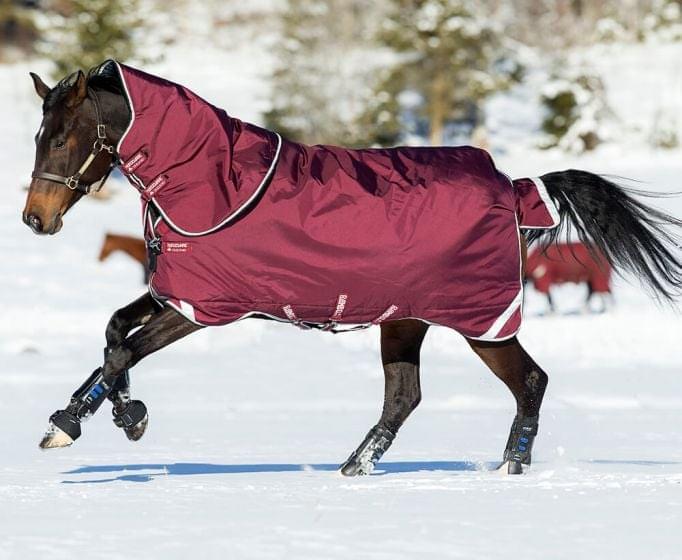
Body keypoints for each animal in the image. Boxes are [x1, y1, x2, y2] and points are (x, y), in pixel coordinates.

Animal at [22, 61, 682, 476]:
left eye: (61, 139)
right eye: (38, 135)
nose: (35, 218)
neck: (209, 184)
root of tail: (515, 188)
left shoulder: (206, 308)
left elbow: (123, 352)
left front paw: (123, 419)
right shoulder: (175, 293)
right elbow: (113, 336)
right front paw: (71, 421)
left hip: (483, 322)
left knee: (530, 382)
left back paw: (510, 467)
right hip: (405, 321)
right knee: (404, 397)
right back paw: (354, 467)